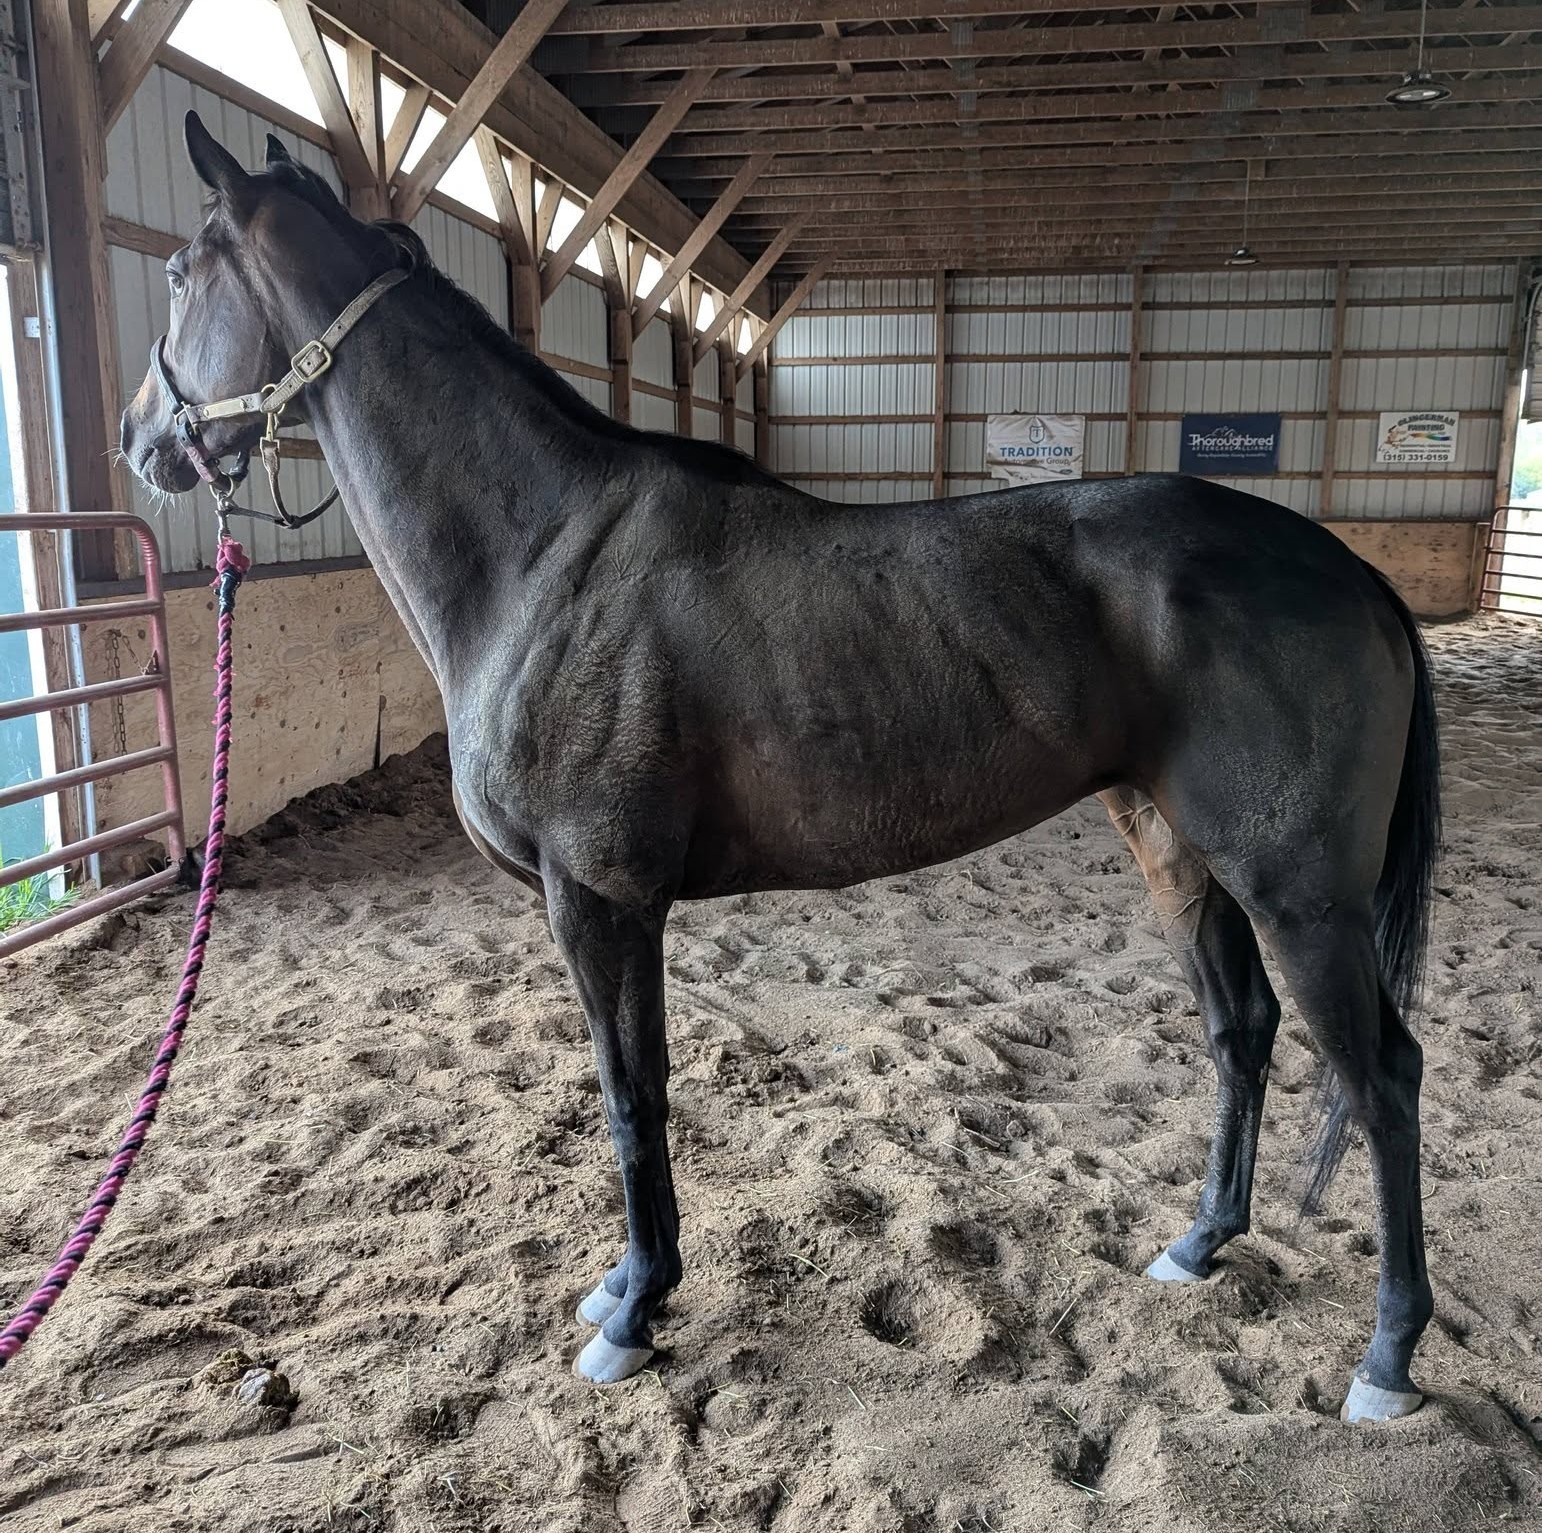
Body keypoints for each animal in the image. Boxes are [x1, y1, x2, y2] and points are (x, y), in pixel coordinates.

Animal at [122, 113, 1440, 1420]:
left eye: (179, 273)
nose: (143, 440)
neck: (546, 555)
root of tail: (1350, 571)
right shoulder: (614, 905)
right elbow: (639, 1087)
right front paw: (625, 1287)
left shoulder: (597, 899)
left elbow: (629, 1092)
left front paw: (637, 1313)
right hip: (1177, 851)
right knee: (1242, 1031)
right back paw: (1202, 1242)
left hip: (1299, 893)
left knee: (1381, 1077)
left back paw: (1387, 1358)